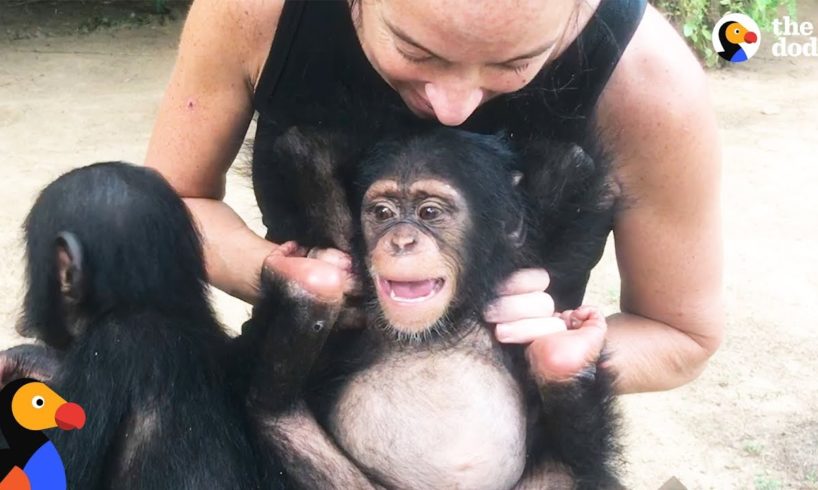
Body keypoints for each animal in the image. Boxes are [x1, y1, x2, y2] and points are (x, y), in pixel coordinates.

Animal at [245, 127, 620, 490]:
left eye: (429, 213)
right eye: (383, 213)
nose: (401, 241)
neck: (440, 327)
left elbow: (574, 170)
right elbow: (304, 154)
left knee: (568, 467)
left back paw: (567, 356)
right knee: (278, 419)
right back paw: (305, 284)